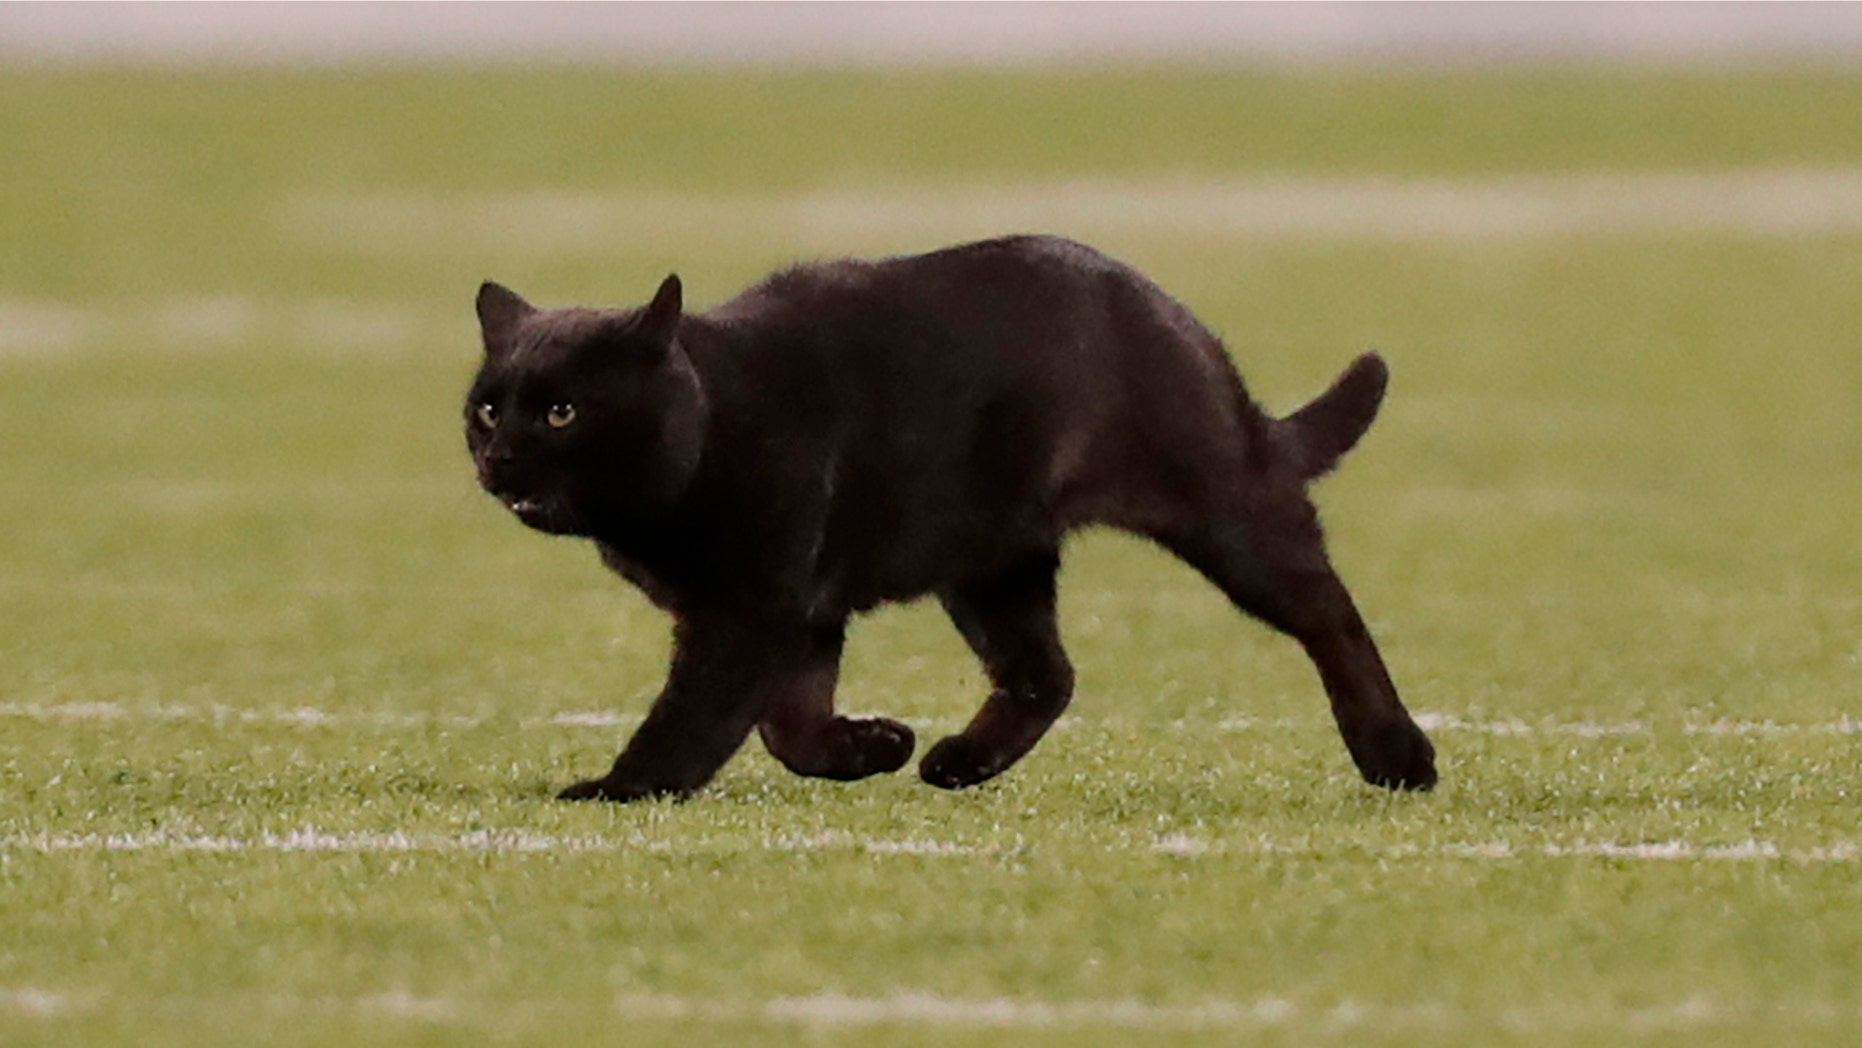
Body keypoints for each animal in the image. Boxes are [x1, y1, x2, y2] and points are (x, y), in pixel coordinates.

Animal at [465, 233, 1437, 800]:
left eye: (563, 413)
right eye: (486, 408)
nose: (497, 454)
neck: (711, 423)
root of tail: (1172, 312)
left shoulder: (750, 611)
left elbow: (693, 720)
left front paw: (614, 789)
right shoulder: (800, 613)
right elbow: (789, 726)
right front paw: (876, 746)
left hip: (1224, 512)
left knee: (1331, 613)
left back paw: (1398, 757)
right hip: (992, 562)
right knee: (1047, 673)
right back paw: (958, 763)